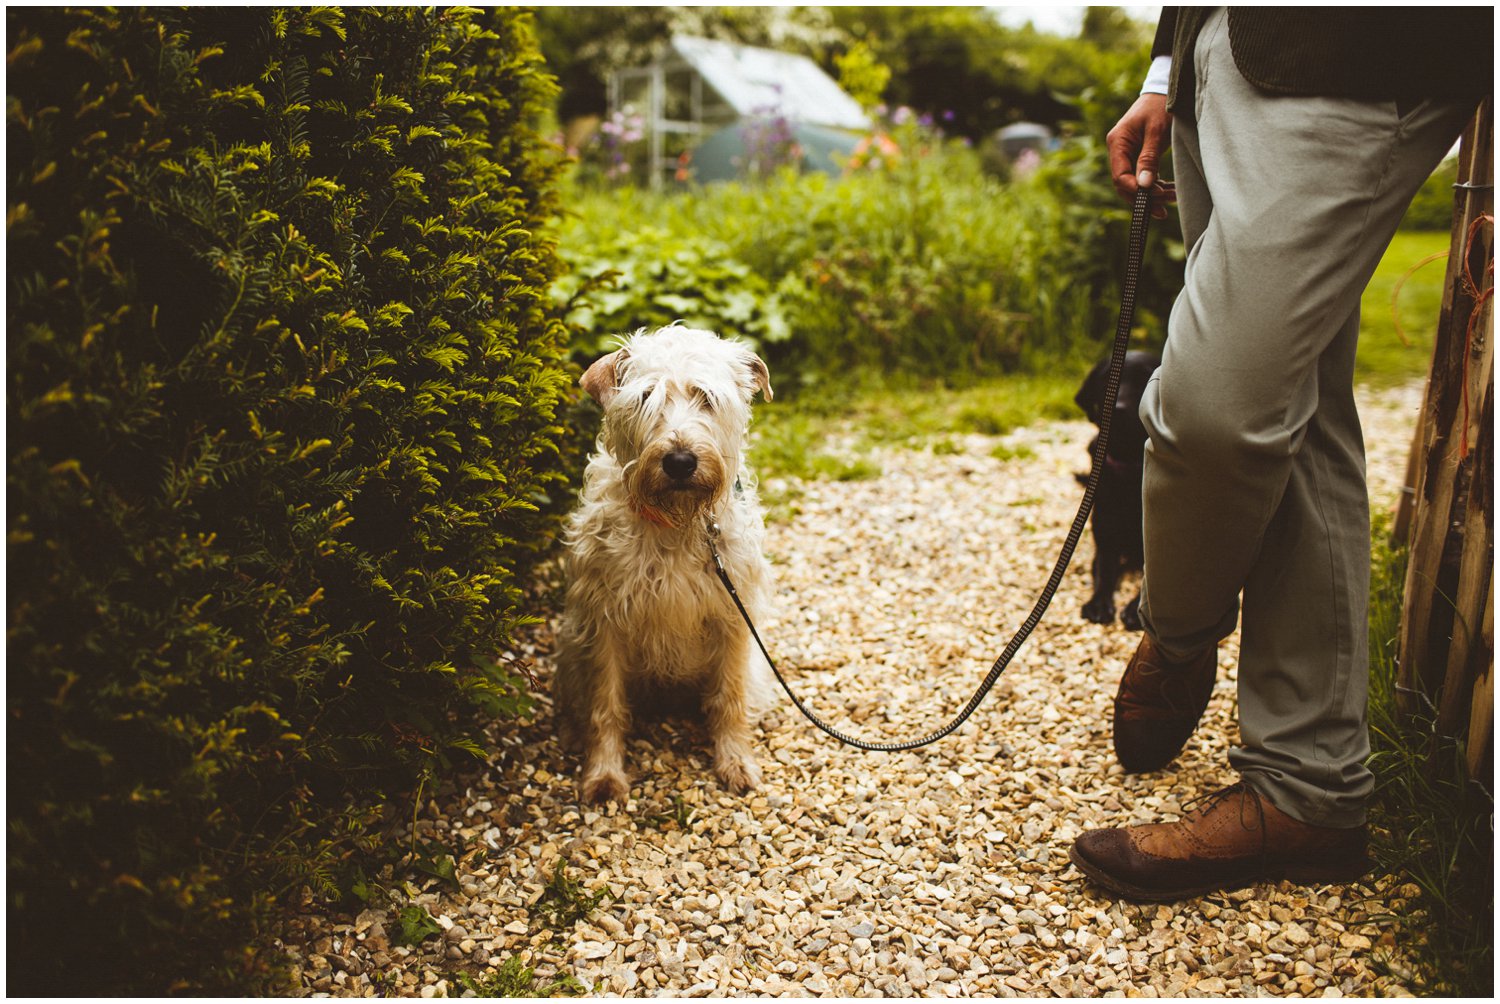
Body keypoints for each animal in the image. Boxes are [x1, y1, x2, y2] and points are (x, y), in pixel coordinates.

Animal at [558, 325, 780, 804]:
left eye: (707, 398)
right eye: (646, 398)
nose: (680, 461)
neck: (676, 521)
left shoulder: (731, 616)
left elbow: (729, 697)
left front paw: (735, 760)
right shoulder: (604, 621)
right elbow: (605, 705)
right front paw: (603, 773)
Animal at [1080, 351, 1158, 627]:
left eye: (1144, 377)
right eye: (1107, 379)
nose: (1117, 408)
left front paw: (1136, 609)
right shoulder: (1106, 539)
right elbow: (1104, 573)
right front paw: (1098, 604)